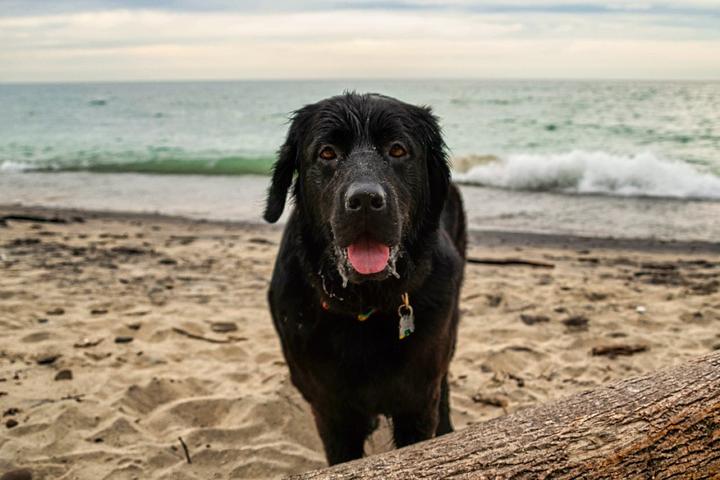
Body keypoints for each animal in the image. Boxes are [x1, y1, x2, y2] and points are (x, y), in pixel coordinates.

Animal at [264, 91, 466, 464]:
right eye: (327, 153)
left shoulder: (417, 403)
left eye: (397, 150)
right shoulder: (331, 411)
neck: (365, 307)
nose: (365, 200)